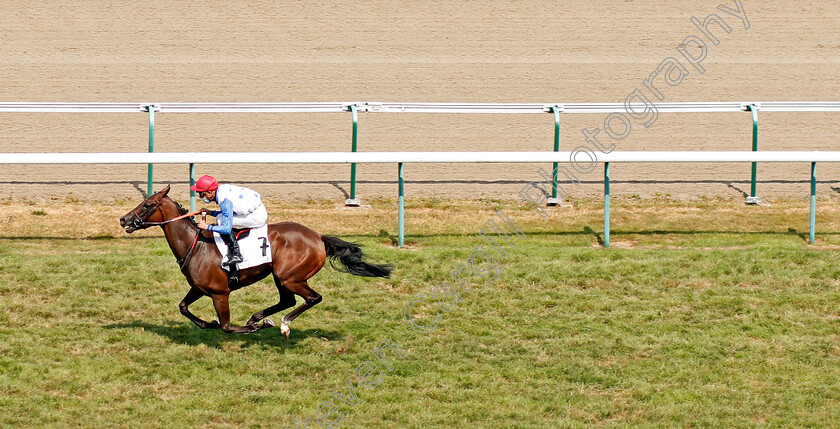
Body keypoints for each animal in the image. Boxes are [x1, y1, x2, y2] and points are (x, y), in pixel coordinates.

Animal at [119, 186, 394, 336]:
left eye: (148, 204)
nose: (124, 220)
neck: (195, 245)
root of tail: (318, 236)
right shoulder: (199, 288)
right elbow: (183, 307)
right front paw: (207, 323)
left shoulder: (220, 293)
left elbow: (227, 326)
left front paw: (252, 327)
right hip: (282, 277)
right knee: (288, 300)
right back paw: (259, 318)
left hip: (290, 276)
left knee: (312, 298)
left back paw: (281, 324)